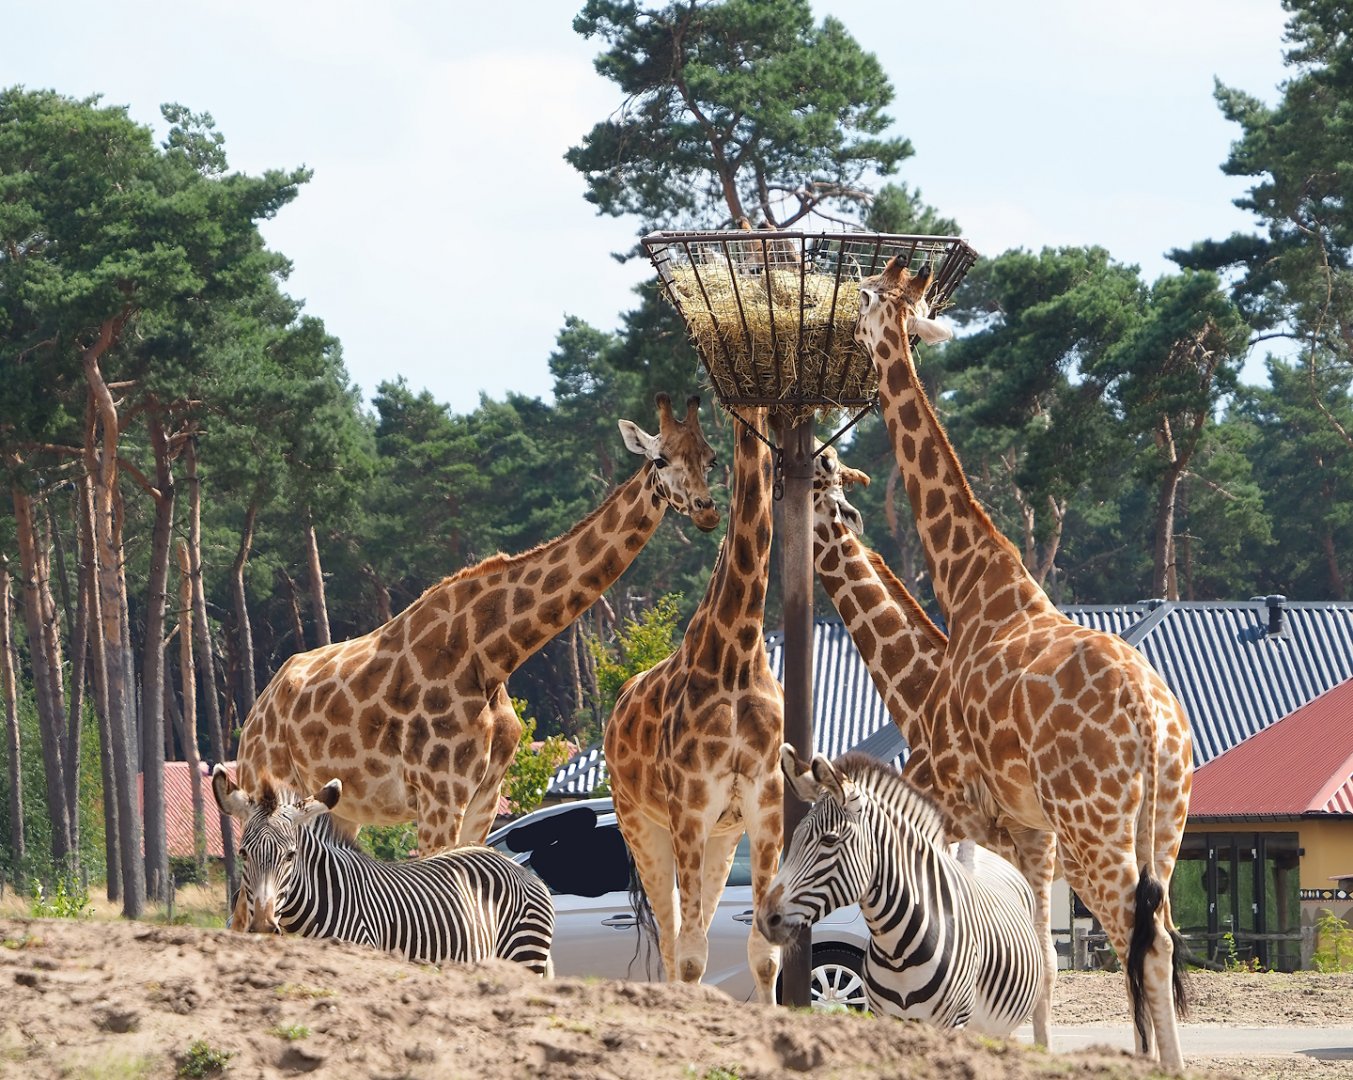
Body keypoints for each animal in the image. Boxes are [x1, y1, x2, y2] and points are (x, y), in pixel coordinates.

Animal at [235, 393, 721, 861]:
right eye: (660, 459)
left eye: (710, 458)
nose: (706, 509)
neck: (493, 653)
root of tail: (257, 711)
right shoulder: (440, 795)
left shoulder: (485, 797)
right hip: (273, 784)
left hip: (342, 809)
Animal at [604, 406, 784, 1002]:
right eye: (660, 458)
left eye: (710, 455)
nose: (706, 510)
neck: (738, 655)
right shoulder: (688, 806)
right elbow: (688, 955)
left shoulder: (763, 805)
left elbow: (764, 952)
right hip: (641, 825)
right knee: (670, 939)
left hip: (722, 841)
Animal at [757, 746, 1043, 1035]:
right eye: (794, 837)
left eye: (829, 839)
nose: (766, 918)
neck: (898, 953)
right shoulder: (885, 1016)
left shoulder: (952, 1023)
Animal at [853, 259, 1194, 1072]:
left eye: (863, 296)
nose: (846, 329)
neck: (968, 583)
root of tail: (1152, 723)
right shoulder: (1026, 828)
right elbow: (1034, 943)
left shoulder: (958, 797)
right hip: (1164, 824)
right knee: (1158, 935)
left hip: (1094, 827)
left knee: (1139, 940)